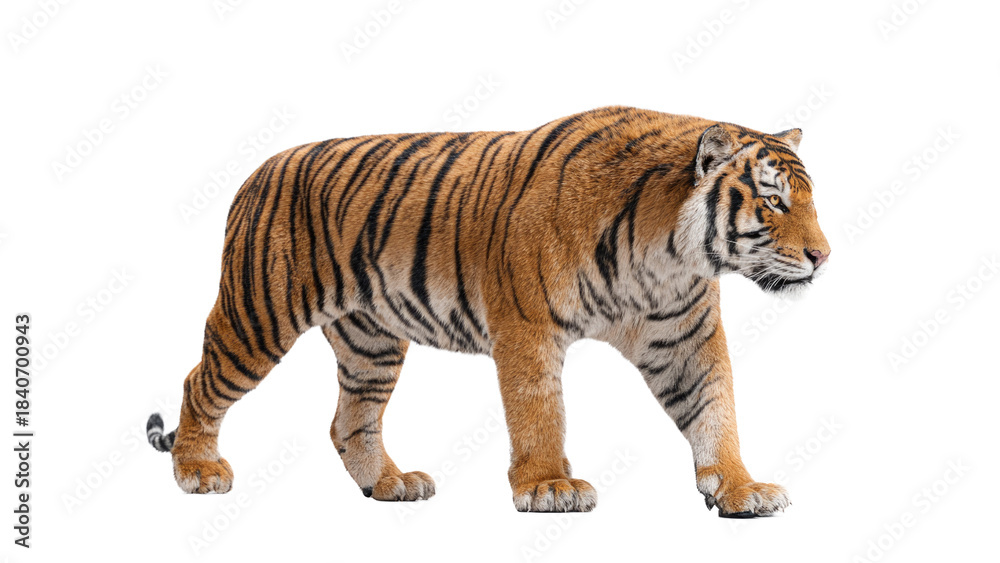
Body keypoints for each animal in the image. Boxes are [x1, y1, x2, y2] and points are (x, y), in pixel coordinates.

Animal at [146, 105, 830, 516]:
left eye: (810, 201)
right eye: (773, 201)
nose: (823, 257)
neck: (667, 256)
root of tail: (257, 171)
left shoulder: (686, 341)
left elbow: (716, 412)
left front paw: (741, 488)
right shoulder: (528, 329)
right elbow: (540, 413)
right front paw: (550, 485)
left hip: (371, 344)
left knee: (350, 421)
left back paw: (390, 485)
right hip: (258, 316)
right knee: (199, 382)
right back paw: (198, 470)